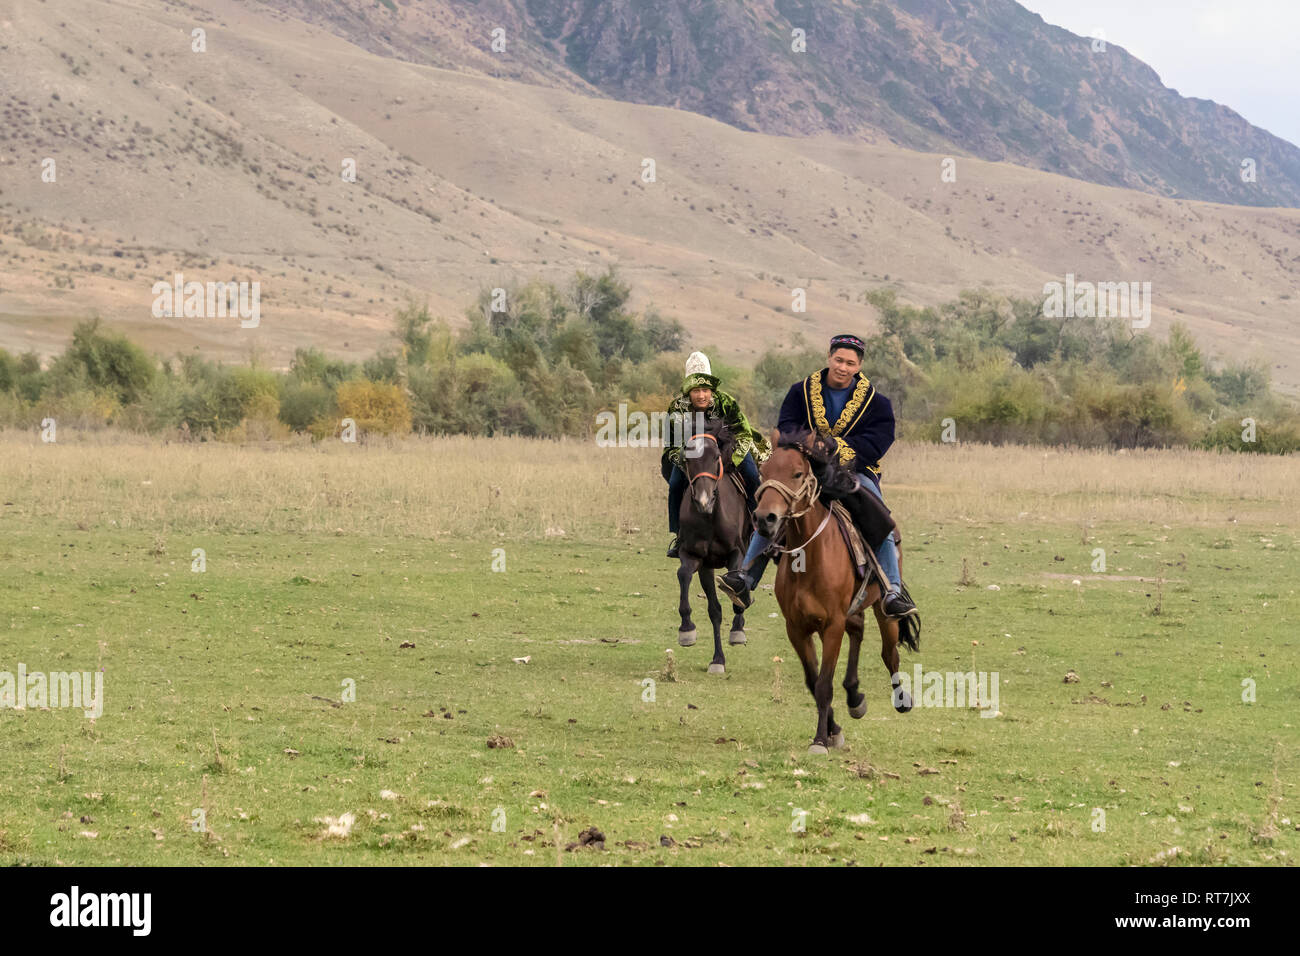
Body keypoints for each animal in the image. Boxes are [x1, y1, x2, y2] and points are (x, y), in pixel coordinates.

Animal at [676, 416, 748, 671]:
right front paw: (687, 630)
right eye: (687, 457)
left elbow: (736, 583)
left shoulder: (737, 552)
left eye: (716, 456)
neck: (710, 518)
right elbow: (685, 577)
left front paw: (737, 628)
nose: (703, 501)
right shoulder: (697, 558)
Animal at [759, 431, 920, 754]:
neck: (809, 558)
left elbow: (823, 684)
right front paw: (832, 730)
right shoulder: (797, 629)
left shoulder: (831, 625)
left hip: (883, 612)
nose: (765, 518)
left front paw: (820, 739)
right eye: (763, 471)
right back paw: (854, 696)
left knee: (889, 654)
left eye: (797, 473)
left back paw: (900, 699)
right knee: (857, 631)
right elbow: (813, 681)